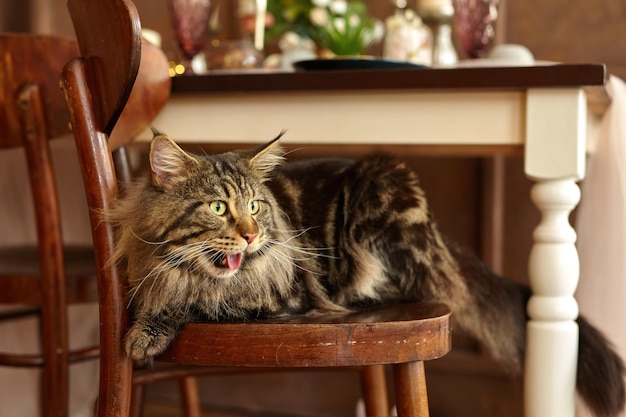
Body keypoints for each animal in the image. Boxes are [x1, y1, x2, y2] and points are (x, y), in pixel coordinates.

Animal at [111, 132, 624, 414]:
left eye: (255, 206)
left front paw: (147, 333)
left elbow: (202, 301)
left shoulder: (282, 298)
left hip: (380, 193)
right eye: (219, 208)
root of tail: (438, 234)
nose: (253, 235)